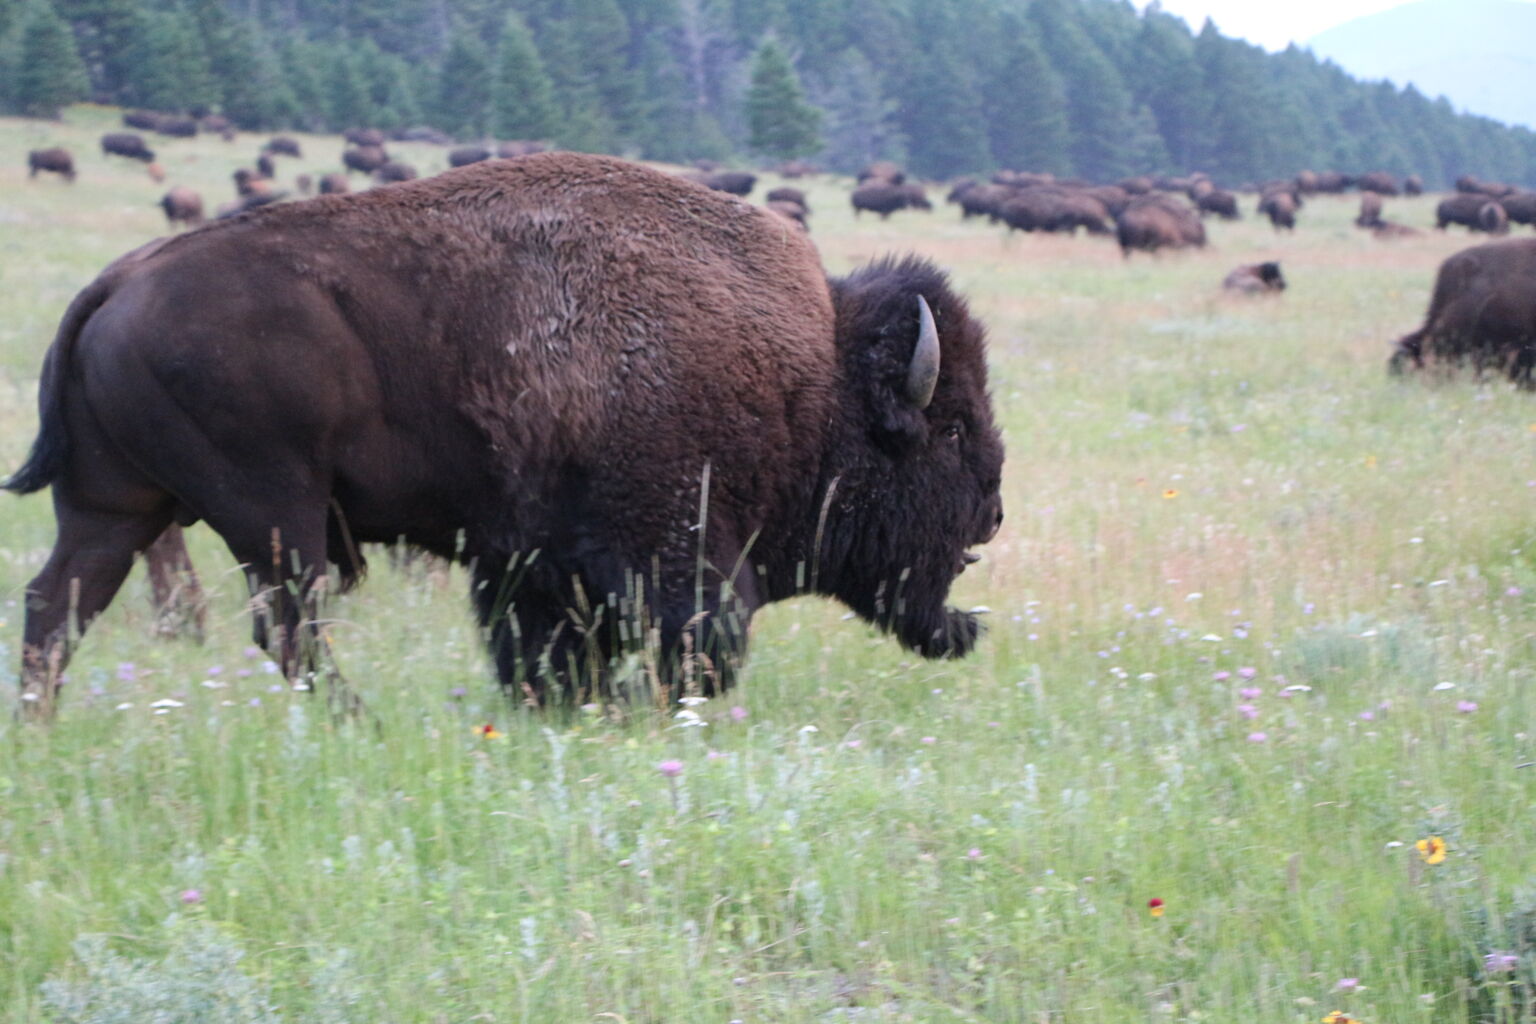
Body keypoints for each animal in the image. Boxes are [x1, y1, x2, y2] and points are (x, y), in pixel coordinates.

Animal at [6, 151, 1007, 718]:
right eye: (951, 428)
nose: (993, 511)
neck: (811, 376)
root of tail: (118, 282)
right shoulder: (671, 548)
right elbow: (699, 635)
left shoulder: (530, 561)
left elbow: (546, 646)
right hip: (272, 511)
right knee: (288, 624)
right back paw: (355, 721)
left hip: (115, 505)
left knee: (60, 601)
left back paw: (40, 726)